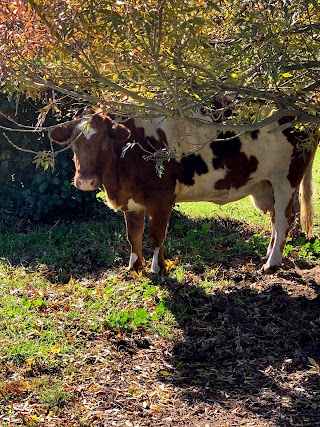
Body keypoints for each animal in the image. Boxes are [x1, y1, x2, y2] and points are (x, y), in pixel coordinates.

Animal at [50, 109, 318, 274]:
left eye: (105, 142)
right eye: (74, 143)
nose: (85, 181)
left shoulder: (162, 197)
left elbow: (155, 236)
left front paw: (158, 268)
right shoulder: (132, 201)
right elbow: (132, 235)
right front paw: (134, 267)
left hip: (285, 179)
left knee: (284, 220)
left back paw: (272, 264)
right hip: (267, 184)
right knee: (275, 219)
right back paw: (268, 255)